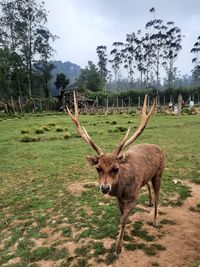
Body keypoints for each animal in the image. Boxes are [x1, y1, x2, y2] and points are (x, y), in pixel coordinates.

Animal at [66, 92, 165, 255]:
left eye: (116, 168)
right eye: (98, 167)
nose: (105, 188)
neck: (122, 189)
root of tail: (159, 148)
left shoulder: (133, 197)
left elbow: (123, 219)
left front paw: (118, 247)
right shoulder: (119, 199)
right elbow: (121, 216)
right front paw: (120, 237)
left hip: (159, 172)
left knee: (158, 195)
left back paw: (155, 220)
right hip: (148, 177)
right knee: (148, 185)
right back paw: (149, 202)